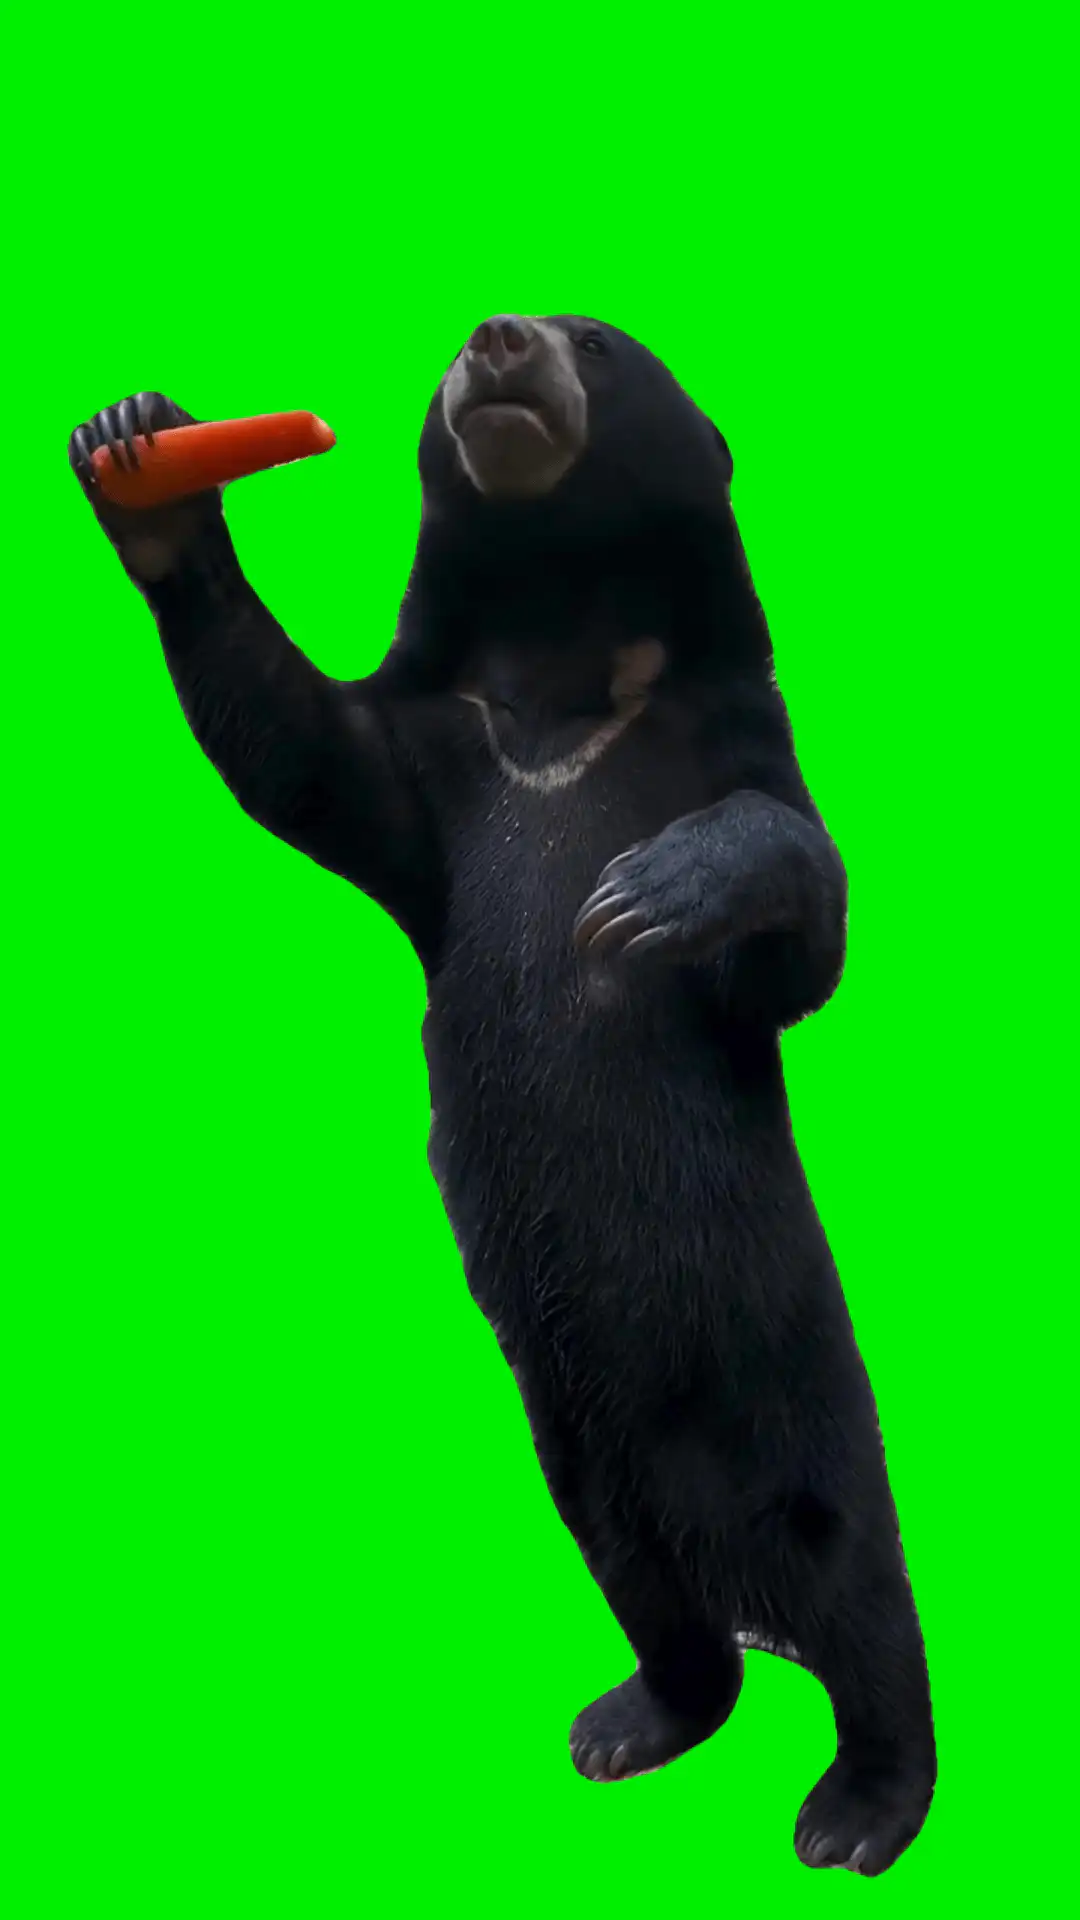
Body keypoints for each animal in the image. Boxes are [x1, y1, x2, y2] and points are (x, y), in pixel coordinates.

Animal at [69, 315, 937, 1875]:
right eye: (478, 342)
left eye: (596, 339)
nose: (500, 340)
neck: (571, 660)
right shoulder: (450, 760)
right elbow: (307, 758)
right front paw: (139, 451)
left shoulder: (729, 734)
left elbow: (800, 926)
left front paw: (649, 893)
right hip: (574, 1441)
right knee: (644, 1583)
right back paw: (639, 1718)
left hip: (781, 1370)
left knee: (853, 1568)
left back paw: (861, 1803)